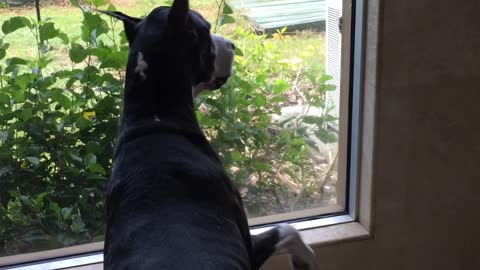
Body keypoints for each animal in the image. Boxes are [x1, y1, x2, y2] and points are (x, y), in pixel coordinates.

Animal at [101, 1, 318, 268]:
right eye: (204, 29)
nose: (232, 44)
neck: (153, 116)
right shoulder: (248, 244)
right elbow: (288, 229)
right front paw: (305, 259)